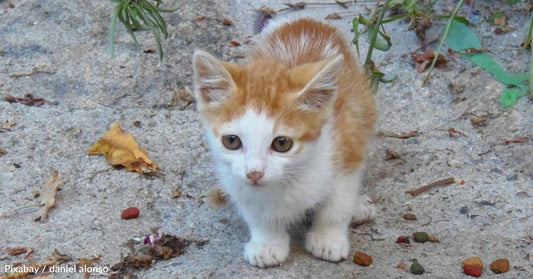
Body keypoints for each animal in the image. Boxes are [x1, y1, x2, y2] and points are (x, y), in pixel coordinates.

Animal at [191, 18, 374, 270]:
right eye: (231, 141)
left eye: (281, 143)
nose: (254, 173)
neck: (288, 180)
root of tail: (305, 21)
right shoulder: (238, 182)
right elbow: (259, 214)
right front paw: (267, 244)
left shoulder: (347, 145)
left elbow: (338, 204)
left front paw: (328, 239)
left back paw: (359, 206)